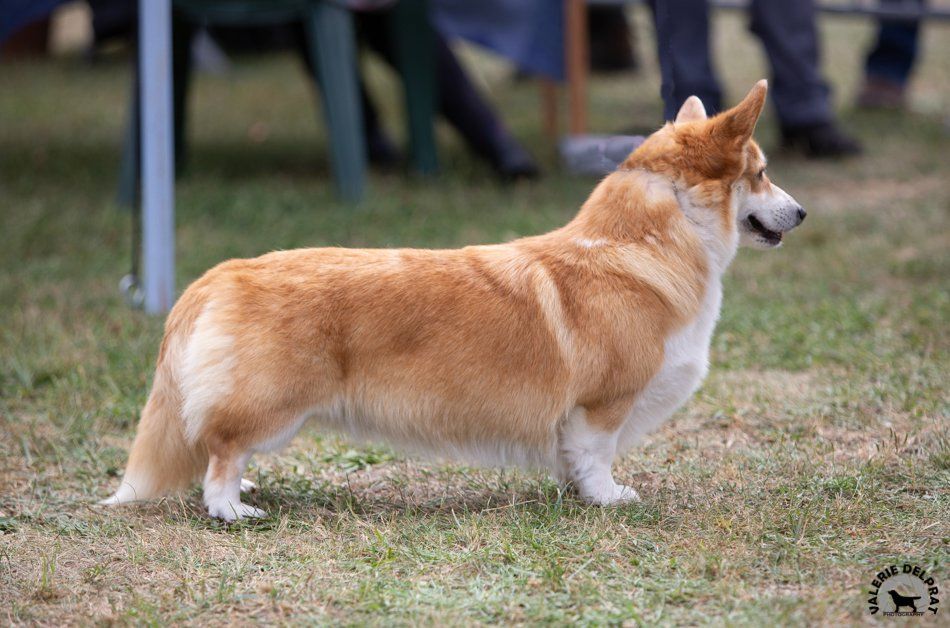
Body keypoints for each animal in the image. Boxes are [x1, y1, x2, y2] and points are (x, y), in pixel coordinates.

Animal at [104, 79, 804, 520]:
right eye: (761, 173)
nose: (800, 213)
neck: (640, 243)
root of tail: (218, 276)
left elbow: (573, 460)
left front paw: (578, 493)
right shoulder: (602, 405)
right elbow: (598, 456)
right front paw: (609, 499)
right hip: (274, 404)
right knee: (221, 451)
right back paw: (233, 508)